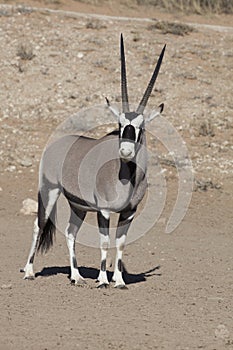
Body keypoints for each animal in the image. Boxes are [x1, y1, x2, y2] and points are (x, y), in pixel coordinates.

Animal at [20, 34, 165, 288]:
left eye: (141, 126)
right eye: (119, 123)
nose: (126, 151)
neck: (125, 176)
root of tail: (56, 145)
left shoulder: (129, 212)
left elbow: (120, 242)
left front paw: (119, 280)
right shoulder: (104, 211)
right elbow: (104, 242)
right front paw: (103, 279)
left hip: (78, 206)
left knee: (70, 232)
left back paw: (76, 276)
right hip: (49, 191)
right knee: (38, 225)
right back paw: (29, 271)